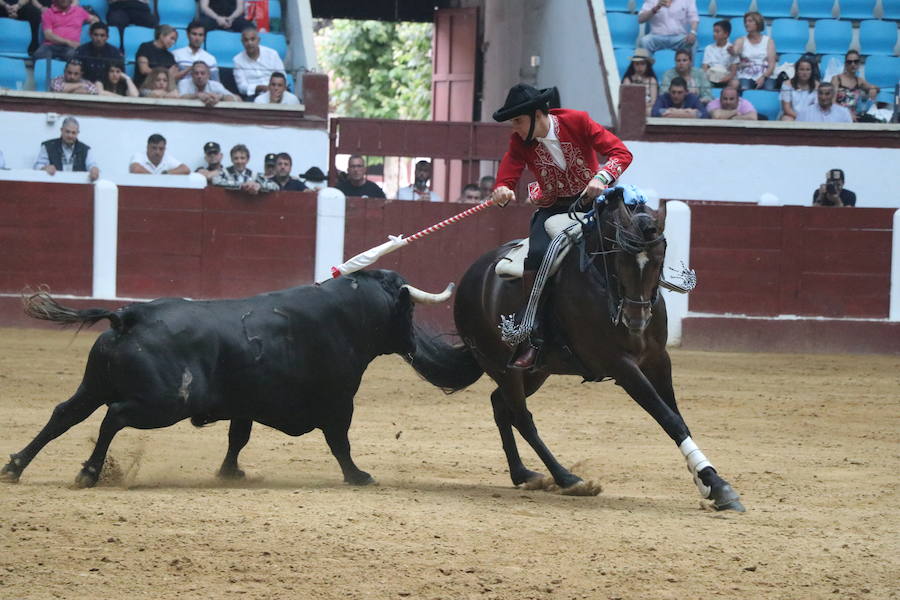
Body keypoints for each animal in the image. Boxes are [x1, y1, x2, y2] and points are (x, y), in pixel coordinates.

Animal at [3, 270, 474, 488]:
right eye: (408, 310)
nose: (415, 343)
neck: (347, 316)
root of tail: (130, 316)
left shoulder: (245, 404)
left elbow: (238, 437)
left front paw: (230, 472)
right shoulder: (339, 402)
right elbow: (340, 441)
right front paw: (359, 476)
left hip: (94, 384)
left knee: (64, 414)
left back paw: (15, 466)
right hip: (162, 404)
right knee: (113, 418)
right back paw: (88, 472)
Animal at [410, 190, 744, 512]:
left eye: (659, 258)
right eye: (620, 259)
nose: (636, 320)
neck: (603, 282)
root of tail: (472, 276)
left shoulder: (658, 360)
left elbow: (677, 417)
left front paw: (709, 481)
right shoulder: (621, 365)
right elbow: (667, 417)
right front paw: (716, 485)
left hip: (534, 371)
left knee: (500, 406)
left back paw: (523, 473)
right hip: (500, 365)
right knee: (521, 416)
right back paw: (567, 478)